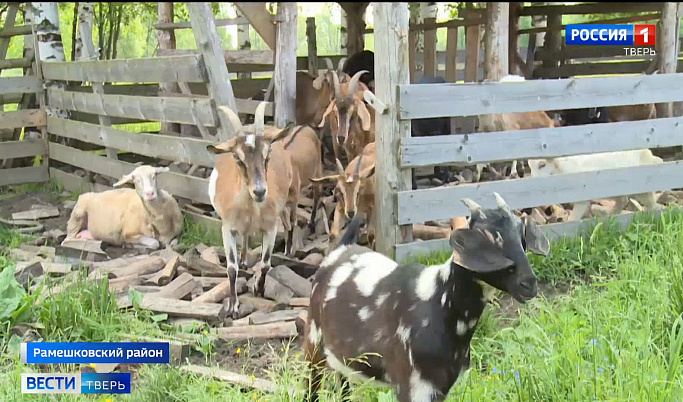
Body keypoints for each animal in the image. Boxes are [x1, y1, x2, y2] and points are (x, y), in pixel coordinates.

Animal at [206, 103, 296, 318]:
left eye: (267, 155)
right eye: (237, 157)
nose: (260, 191)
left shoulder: (270, 227)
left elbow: (265, 263)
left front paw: (259, 289)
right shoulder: (227, 228)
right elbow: (231, 268)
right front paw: (232, 307)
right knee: (245, 238)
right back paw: (244, 259)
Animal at [304, 193, 552, 400]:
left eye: (522, 238)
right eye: (487, 238)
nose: (529, 284)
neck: (439, 301)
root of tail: (341, 250)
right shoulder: (413, 386)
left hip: (342, 358)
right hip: (314, 345)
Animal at [528, 149, 664, 221]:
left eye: (542, 165)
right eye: (530, 166)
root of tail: (649, 154)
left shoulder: (581, 197)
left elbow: (575, 216)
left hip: (643, 188)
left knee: (650, 202)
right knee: (623, 200)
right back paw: (611, 214)